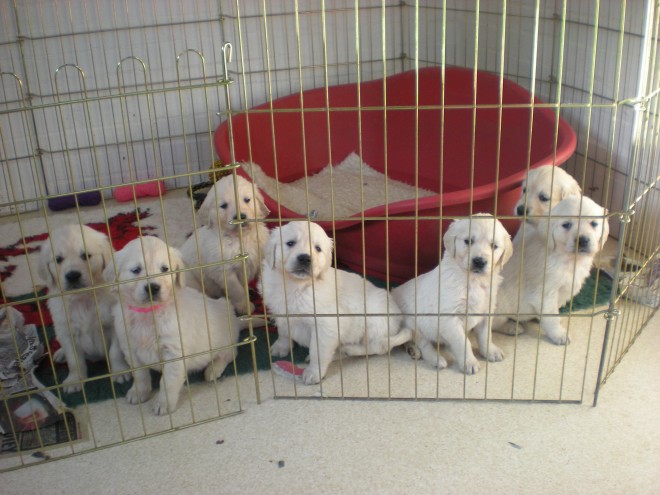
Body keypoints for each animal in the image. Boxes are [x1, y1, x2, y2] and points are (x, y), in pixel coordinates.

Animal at [38, 224, 128, 392]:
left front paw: (120, 372)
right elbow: (74, 360)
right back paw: (60, 354)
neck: (83, 298)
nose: (72, 276)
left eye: (86, 255)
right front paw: (74, 380)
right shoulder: (66, 332)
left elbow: (115, 352)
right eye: (58, 259)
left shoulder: (114, 325)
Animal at [179, 174, 270, 314]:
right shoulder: (224, 271)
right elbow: (237, 290)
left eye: (247, 199)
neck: (241, 238)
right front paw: (245, 306)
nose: (241, 216)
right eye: (223, 205)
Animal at [260, 222, 410, 388]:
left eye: (318, 248)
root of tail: (398, 315)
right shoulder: (281, 311)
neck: (296, 285)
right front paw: (281, 347)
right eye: (290, 243)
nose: (305, 258)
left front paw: (313, 373)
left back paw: (346, 350)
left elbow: (318, 351)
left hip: (374, 322)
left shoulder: (327, 325)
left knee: (378, 346)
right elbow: (284, 332)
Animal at [392, 215, 516, 374]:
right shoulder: (449, 317)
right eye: (468, 241)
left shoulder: (486, 311)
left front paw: (490, 351)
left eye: (494, 246)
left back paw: (413, 351)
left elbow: (485, 336)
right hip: (412, 321)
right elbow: (463, 342)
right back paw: (436, 359)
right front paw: (469, 362)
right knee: (422, 342)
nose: (479, 261)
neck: (473, 280)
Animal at [496, 195, 608, 344]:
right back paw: (511, 327)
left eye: (594, 224)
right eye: (566, 225)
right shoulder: (546, 293)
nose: (583, 240)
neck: (568, 259)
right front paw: (559, 334)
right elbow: (551, 317)